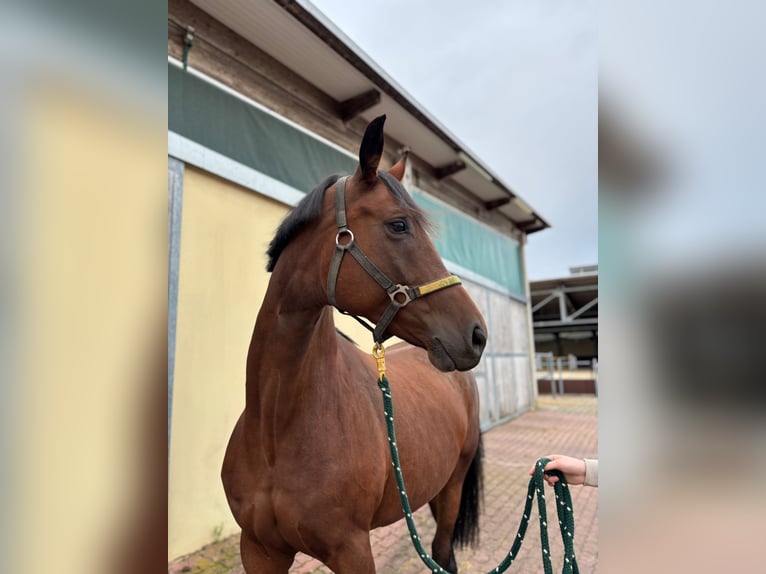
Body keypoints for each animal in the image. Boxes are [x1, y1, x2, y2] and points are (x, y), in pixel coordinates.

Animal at [222, 115, 488, 573]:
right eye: (398, 224)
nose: (477, 334)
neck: (276, 427)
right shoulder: (258, 549)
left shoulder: (352, 549)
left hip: (452, 487)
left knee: (442, 555)